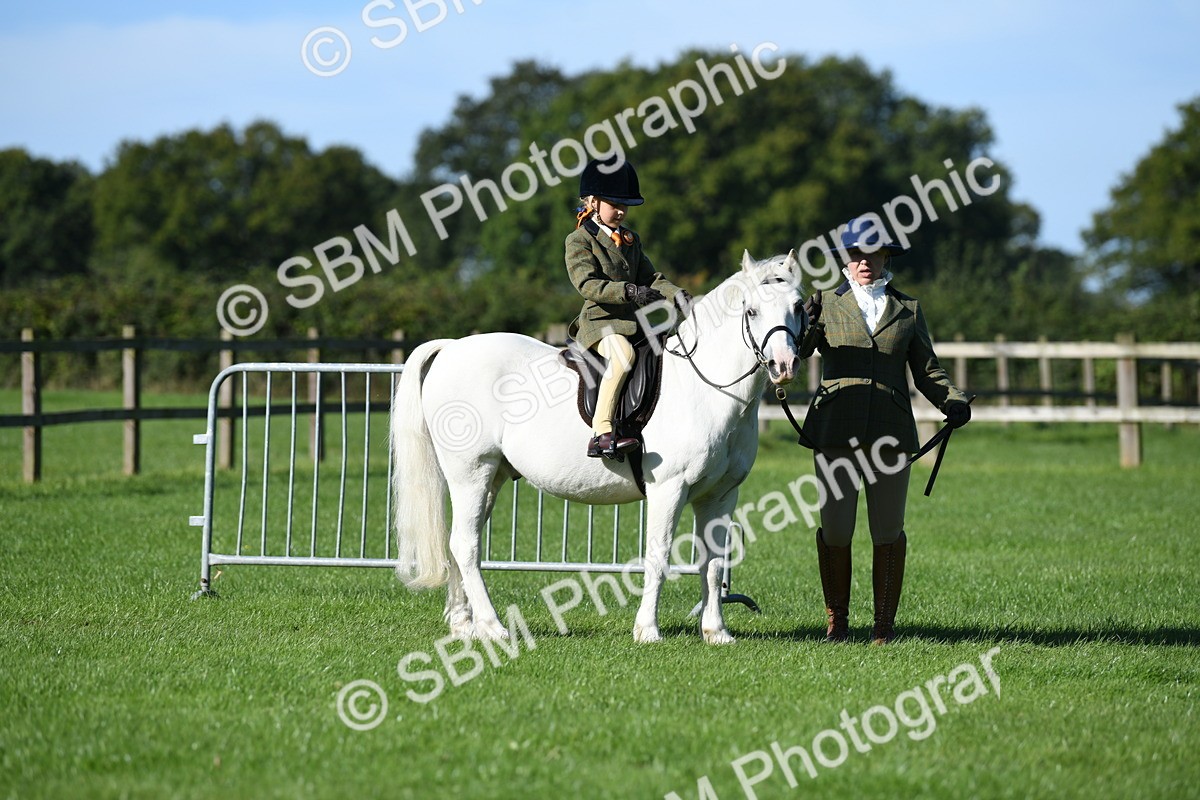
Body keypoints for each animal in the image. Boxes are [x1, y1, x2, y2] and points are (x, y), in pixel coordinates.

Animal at [390, 250, 807, 644]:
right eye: (751, 310)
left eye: (799, 306)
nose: (784, 366)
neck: (705, 388)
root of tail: (451, 348)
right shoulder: (669, 489)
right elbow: (658, 554)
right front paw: (647, 630)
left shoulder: (720, 495)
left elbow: (714, 563)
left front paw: (716, 632)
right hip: (470, 473)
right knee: (465, 544)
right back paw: (493, 627)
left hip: (489, 479)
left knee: (462, 541)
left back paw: (465, 625)